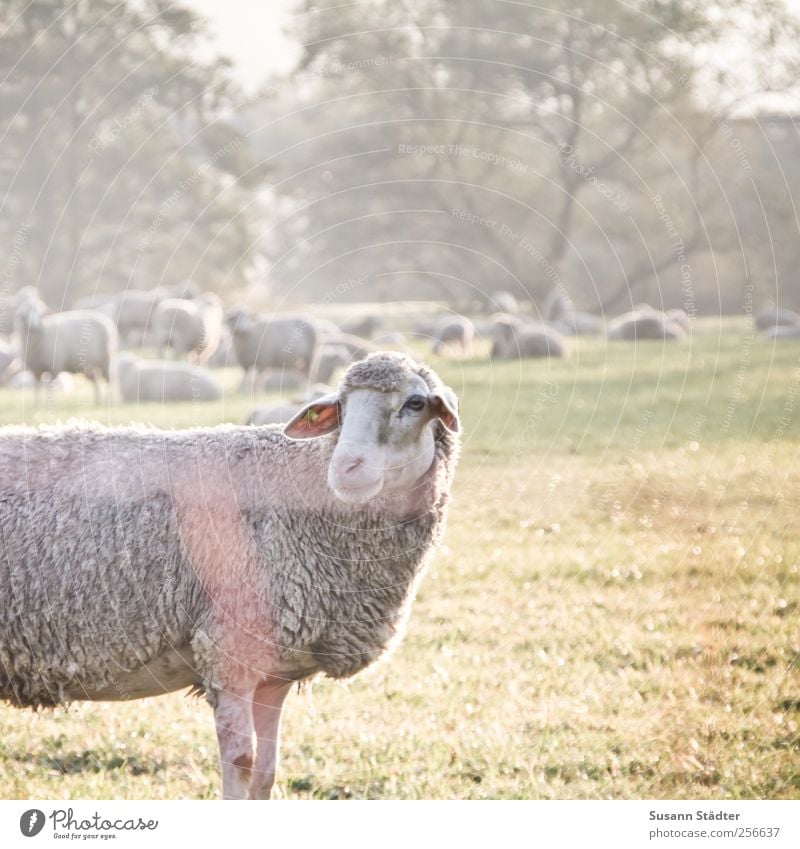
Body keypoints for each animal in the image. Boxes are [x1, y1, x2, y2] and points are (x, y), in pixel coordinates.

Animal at [0, 348, 460, 800]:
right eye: (342, 407)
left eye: (415, 403)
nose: (347, 467)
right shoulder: (228, 650)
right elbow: (242, 762)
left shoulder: (276, 674)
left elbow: (267, 773)